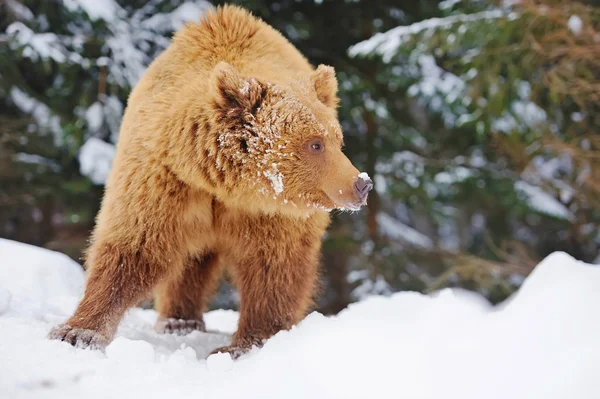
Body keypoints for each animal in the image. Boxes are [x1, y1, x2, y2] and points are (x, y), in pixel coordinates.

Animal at [49, 4, 372, 358]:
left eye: (338, 140)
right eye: (315, 144)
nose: (361, 183)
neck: (225, 184)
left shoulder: (270, 212)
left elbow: (273, 268)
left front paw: (245, 343)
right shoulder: (164, 180)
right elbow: (134, 246)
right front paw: (78, 331)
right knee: (189, 262)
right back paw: (178, 322)